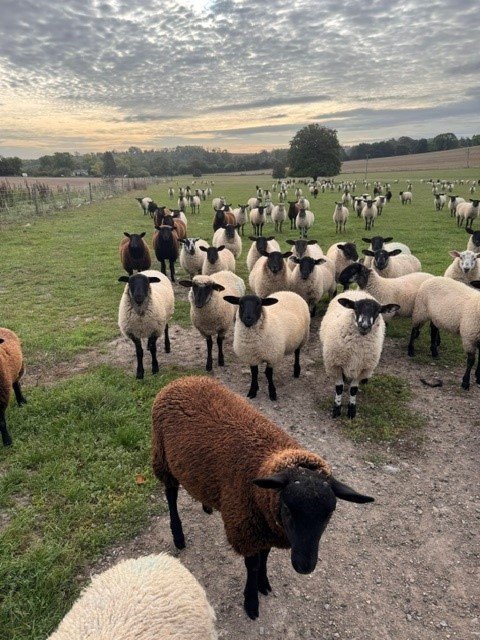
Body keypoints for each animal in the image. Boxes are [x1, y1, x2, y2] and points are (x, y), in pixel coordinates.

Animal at [152, 375, 374, 619]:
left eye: (329, 514)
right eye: (287, 509)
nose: (304, 566)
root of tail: (183, 380)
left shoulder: (265, 526)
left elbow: (265, 556)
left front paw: (264, 583)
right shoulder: (247, 527)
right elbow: (253, 565)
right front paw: (251, 602)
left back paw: (206, 506)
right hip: (162, 457)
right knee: (171, 496)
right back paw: (178, 536)